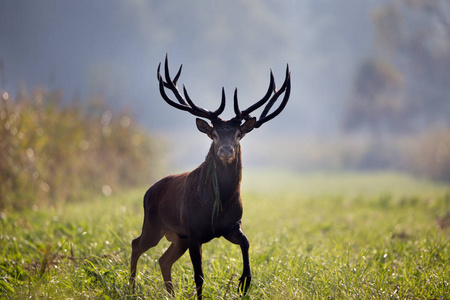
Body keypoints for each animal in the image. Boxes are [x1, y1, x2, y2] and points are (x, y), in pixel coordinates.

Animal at [130, 55, 292, 298]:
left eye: (238, 134)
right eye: (214, 134)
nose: (226, 150)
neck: (220, 204)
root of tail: (148, 192)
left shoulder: (232, 226)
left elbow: (246, 243)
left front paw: (244, 283)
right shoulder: (194, 231)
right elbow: (199, 276)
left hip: (178, 237)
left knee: (163, 259)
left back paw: (170, 293)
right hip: (153, 225)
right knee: (136, 244)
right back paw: (130, 288)